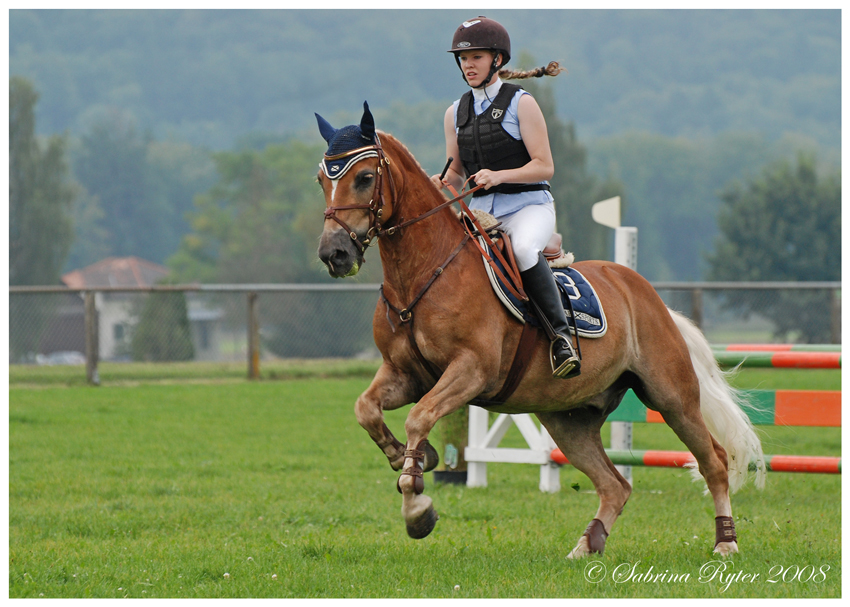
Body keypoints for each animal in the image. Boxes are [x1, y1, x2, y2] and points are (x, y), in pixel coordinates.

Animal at [314, 102, 760, 560]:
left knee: (713, 462)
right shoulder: (406, 373)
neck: (423, 273)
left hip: (671, 397)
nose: (334, 253)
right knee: (615, 485)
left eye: (364, 178)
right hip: (569, 420)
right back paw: (586, 545)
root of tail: (649, 297)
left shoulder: (470, 371)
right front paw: (412, 459)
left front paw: (417, 505)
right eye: (321, 180)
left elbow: (419, 417)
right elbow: (366, 409)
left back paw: (726, 542)